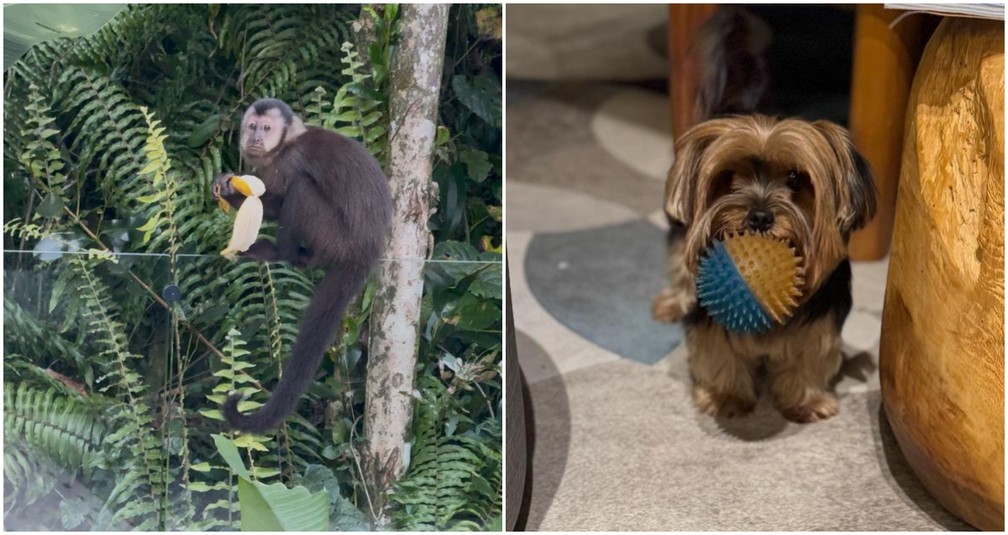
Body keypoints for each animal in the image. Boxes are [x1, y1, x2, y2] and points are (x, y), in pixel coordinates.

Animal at [213, 98, 391, 434]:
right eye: (252, 126)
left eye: (266, 128)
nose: (256, 138)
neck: (286, 144)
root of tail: (367, 250)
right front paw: (227, 188)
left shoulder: (287, 162)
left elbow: (278, 202)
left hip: (336, 237)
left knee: (301, 190)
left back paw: (280, 252)